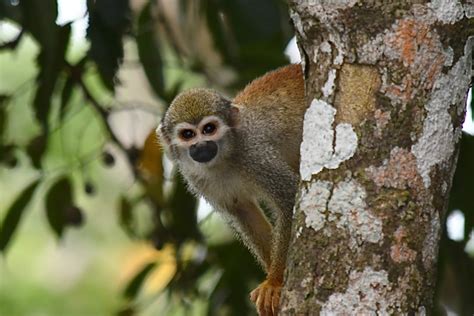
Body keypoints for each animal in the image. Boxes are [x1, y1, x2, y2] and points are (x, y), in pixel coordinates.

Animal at [157, 65, 306, 316]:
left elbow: (288, 197)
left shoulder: (255, 153)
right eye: (188, 135)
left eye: (209, 129)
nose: (201, 146)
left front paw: (275, 282)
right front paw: (272, 276)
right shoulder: (196, 179)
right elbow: (244, 212)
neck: (224, 159)